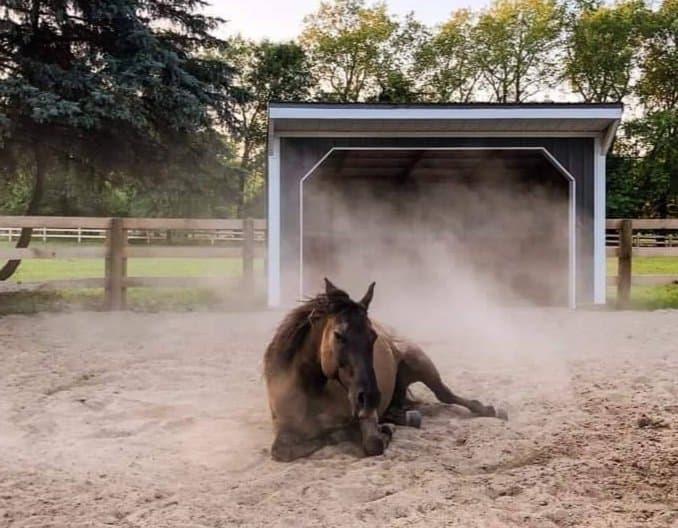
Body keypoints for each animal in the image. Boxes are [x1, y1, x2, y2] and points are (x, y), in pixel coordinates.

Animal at [263, 278, 507, 462]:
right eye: (339, 335)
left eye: (373, 337)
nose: (370, 396)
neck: (312, 391)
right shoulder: (283, 429)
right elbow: (282, 451)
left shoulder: (367, 417)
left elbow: (371, 442)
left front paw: (385, 430)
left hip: (421, 363)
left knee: (446, 394)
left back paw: (489, 410)